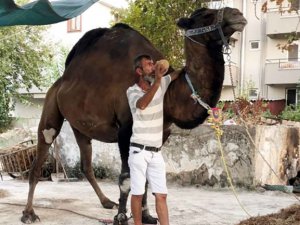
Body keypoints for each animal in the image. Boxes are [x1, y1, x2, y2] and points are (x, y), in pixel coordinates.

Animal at [20, 6, 246, 224]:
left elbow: (144, 179)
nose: (238, 14)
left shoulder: (162, 133)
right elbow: (127, 178)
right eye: (205, 14)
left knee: (86, 164)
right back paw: (29, 213)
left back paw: (106, 202)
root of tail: (61, 81)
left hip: (80, 126)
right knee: (41, 154)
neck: (168, 95)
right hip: (50, 106)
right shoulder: (125, 131)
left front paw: (146, 216)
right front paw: (121, 217)